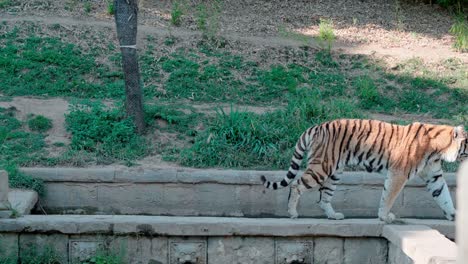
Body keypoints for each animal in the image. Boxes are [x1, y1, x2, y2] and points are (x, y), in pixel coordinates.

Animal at [262, 119, 466, 223]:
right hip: (322, 167)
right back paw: (292, 213)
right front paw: (384, 217)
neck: (438, 150)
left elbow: (444, 196)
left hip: (335, 172)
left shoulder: (434, 176)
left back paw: (333, 216)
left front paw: (455, 216)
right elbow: (388, 197)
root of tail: (316, 126)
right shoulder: (398, 173)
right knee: (296, 185)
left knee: (323, 198)